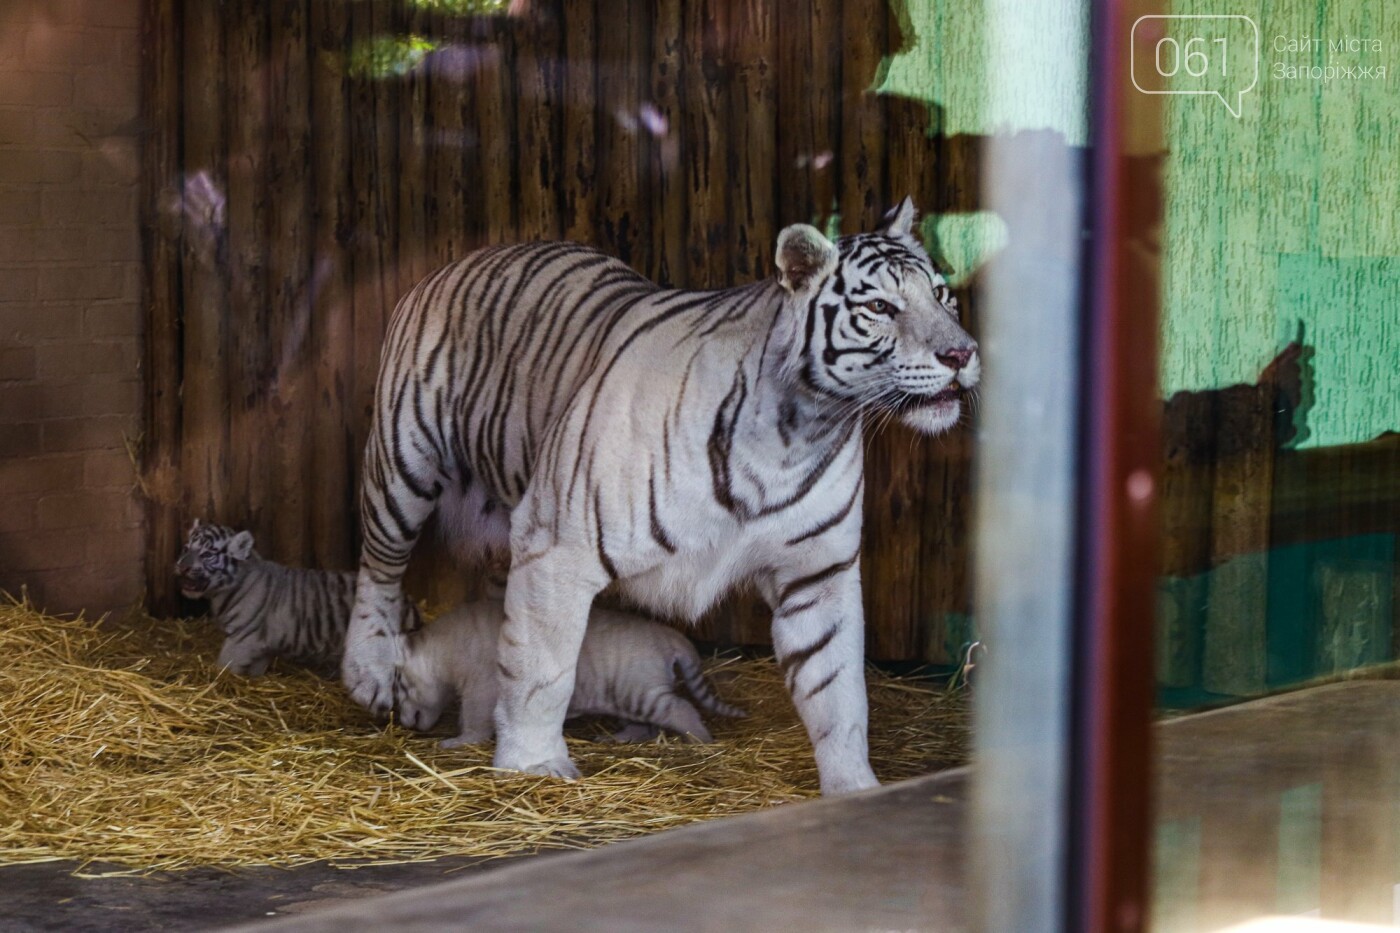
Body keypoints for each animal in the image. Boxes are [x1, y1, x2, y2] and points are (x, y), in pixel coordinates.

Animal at [397, 599, 744, 745]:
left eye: (399, 685)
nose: (402, 721)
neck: (444, 651)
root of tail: (669, 634)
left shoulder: (481, 690)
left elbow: (474, 722)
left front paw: (457, 742)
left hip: (641, 692)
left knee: (681, 709)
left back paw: (701, 740)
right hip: (629, 696)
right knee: (644, 725)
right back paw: (619, 738)